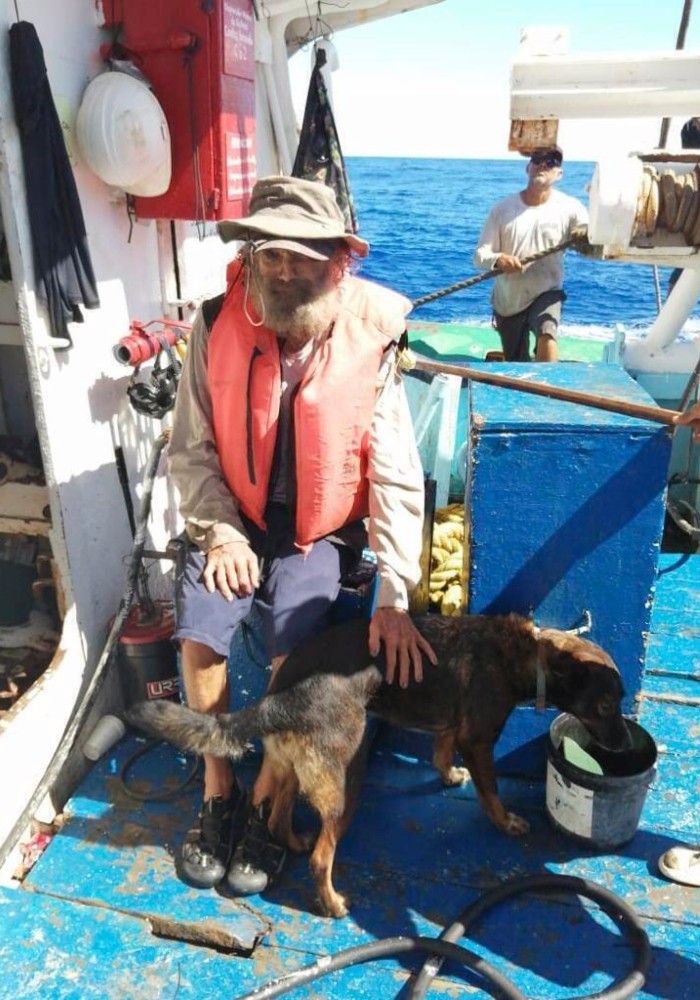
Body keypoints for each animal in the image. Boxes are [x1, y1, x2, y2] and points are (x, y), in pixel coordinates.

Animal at [127, 612, 628, 916]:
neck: (529, 654)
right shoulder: (478, 737)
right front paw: (506, 822)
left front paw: (448, 776)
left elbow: (441, 750)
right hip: (347, 781)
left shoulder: (450, 725)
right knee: (321, 857)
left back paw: (294, 840)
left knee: (277, 815)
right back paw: (332, 903)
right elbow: (490, 791)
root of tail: (278, 698)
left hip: (291, 768)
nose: (623, 747)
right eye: (606, 705)